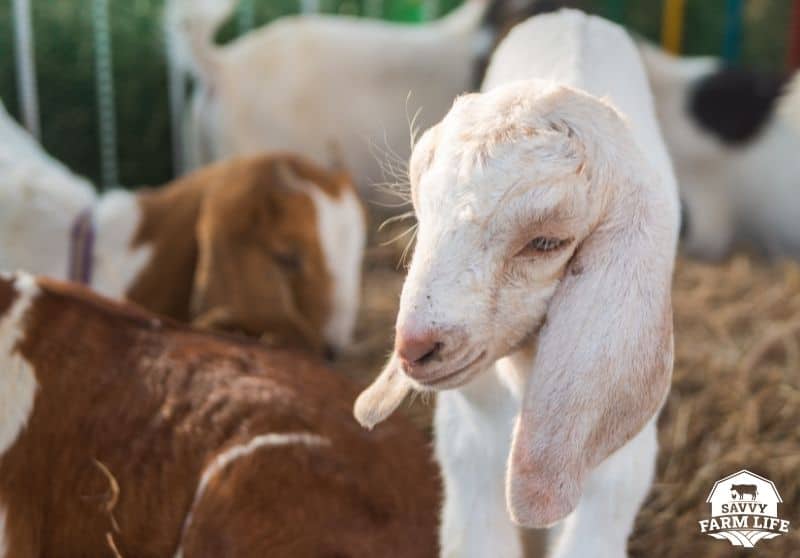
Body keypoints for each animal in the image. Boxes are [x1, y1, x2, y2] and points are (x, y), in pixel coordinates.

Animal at [354, 10, 679, 558]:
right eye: (423, 213)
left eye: (547, 242)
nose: (414, 347)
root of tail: (574, 15)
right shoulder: (468, 440)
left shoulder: (617, 468)